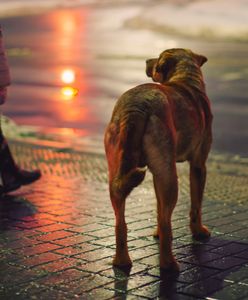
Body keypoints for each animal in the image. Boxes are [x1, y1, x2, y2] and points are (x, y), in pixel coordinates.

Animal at [104, 48, 213, 270]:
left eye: (157, 59)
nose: (146, 60)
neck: (185, 77)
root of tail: (135, 107)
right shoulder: (199, 165)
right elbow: (196, 204)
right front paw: (198, 231)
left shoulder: (157, 173)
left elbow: (158, 207)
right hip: (171, 177)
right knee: (167, 223)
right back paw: (169, 264)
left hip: (120, 173)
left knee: (120, 222)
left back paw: (121, 261)